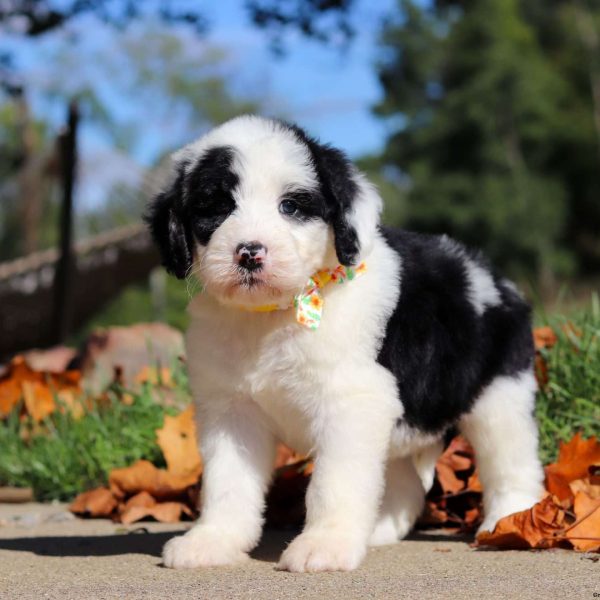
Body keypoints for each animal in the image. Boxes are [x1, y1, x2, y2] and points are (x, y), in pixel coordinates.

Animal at [145, 116, 544, 572]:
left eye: (291, 206)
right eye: (216, 207)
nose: (249, 253)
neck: (275, 315)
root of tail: (498, 281)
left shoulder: (351, 403)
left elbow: (334, 481)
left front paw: (324, 545)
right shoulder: (230, 410)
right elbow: (228, 481)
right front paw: (214, 539)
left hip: (501, 395)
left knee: (511, 459)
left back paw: (509, 521)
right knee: (405, 479)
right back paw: (380, 528)